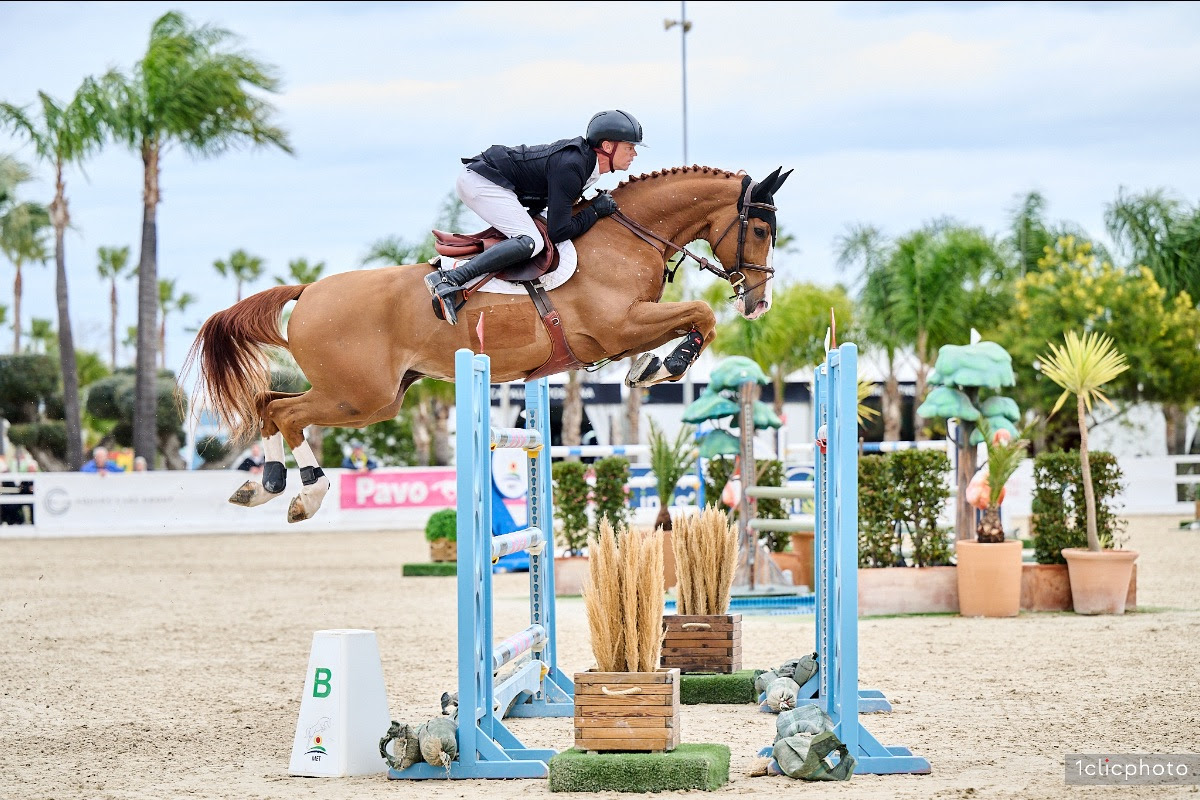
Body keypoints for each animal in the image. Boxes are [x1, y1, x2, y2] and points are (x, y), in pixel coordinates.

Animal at [184, 165, 787, 522]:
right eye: (759, 231)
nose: (759, 303)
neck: (624, 236)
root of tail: (307, 290)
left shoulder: (630, 327)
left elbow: (685, 325)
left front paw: (650, 367)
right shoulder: (617, 325)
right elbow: (701, 314)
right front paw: (670, 363)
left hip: (374, 398)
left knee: (268, 404)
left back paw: (263, 485)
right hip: (359, 396)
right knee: (286, 412)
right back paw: (305, 494)